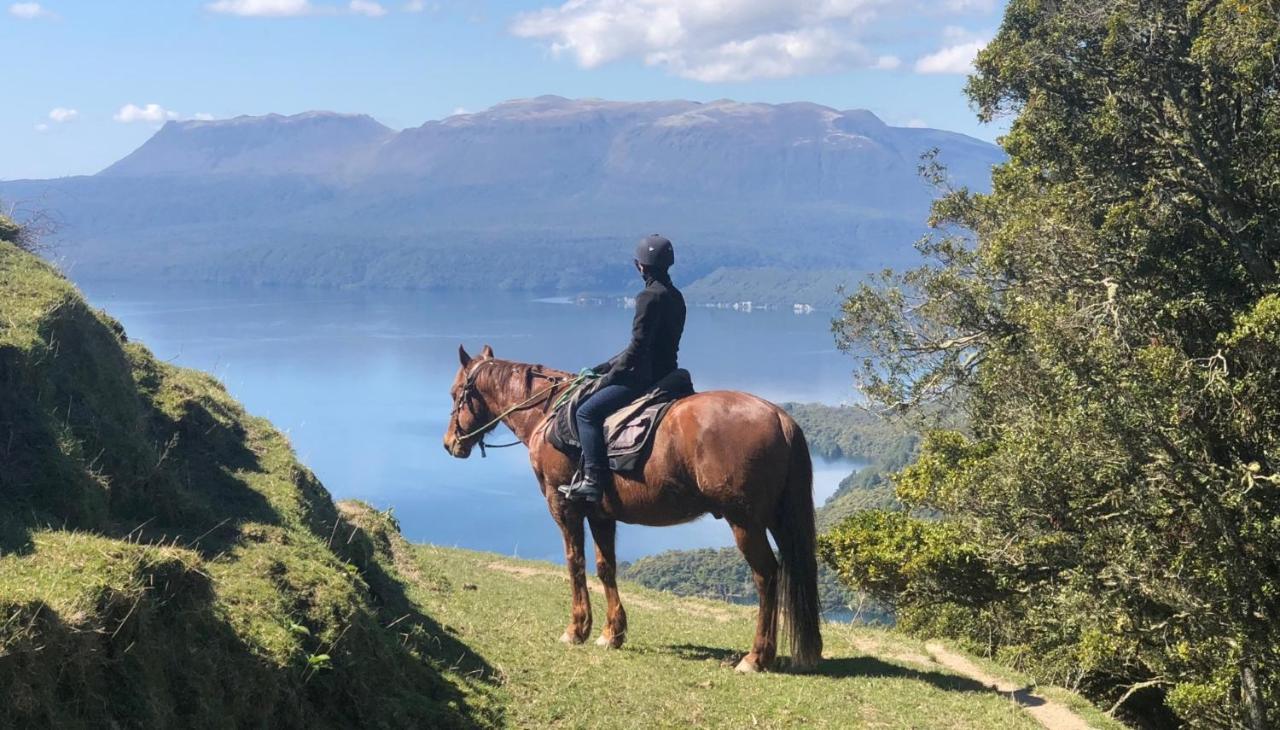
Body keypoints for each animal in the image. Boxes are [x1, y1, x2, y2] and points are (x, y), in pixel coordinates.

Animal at [445, 343, 824, 665]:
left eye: (455, 393)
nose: (450, 443)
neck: (548, 413)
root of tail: (780, 417)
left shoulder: (563, 505)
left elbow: (575, 563)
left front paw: (576, 629)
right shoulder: (600, 513)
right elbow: (606, 567)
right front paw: (612, 633)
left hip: (744, 521)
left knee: (766, 575)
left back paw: (756, 656)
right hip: (778, 519)